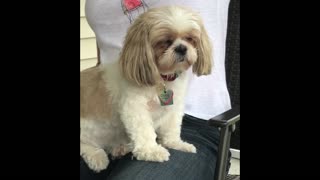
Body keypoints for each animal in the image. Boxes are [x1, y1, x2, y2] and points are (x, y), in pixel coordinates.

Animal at [80, 5, 212, 172]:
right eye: (165, 41)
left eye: (190, 38)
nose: (182, 48)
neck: (161, 79)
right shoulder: (135, 107)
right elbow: (143, 130)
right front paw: (152, 151)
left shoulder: (174, 106)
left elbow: (172, 127)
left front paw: (176, 144)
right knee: (84, 145)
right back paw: (97, 156)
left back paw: (119, 148)